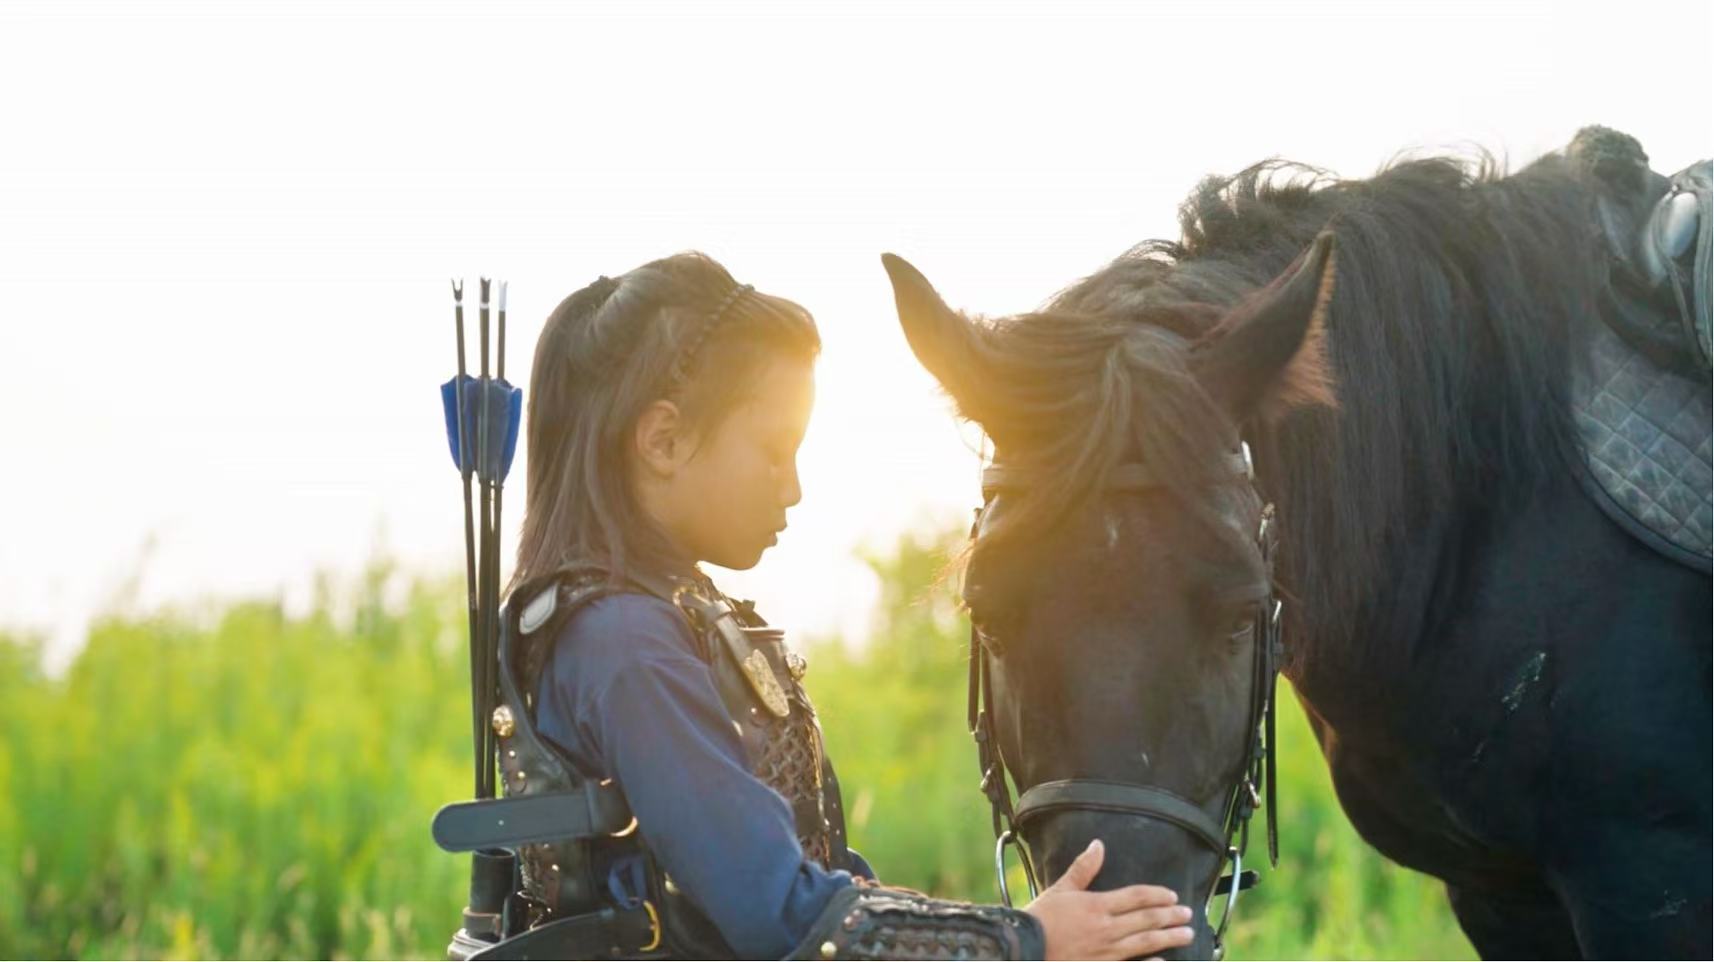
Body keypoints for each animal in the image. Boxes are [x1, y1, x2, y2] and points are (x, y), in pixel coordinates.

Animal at [882, 129, 1711, 959]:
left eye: (1240, 615)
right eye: (988, 618)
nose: (1128, 937)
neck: (1496, 501)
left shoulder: (1648, 880)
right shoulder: (1502, 894)